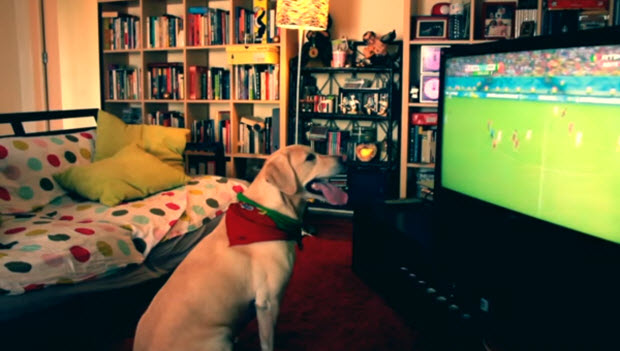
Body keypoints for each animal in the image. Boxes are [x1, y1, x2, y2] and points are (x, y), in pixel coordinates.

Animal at [134, 145, 348, 351]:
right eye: (310, 157)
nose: (344, 157)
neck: (268, 214)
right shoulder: (268, 303)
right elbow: (268, 343)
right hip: (220, 339)